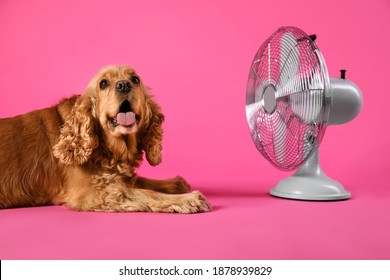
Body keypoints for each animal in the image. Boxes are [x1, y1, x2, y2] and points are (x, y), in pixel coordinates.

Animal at [0, 65, 210, 213]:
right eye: (103, 83)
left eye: (135, 79)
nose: (124, 84)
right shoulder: (95, 194)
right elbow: (148, 194)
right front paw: (189, 199)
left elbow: (141, 181)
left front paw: (175, 183)